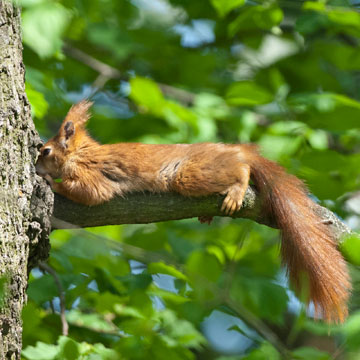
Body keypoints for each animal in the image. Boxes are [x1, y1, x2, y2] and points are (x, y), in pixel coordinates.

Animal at [35, 100, 348, 322]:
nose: (36, 167)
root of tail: (237, 150)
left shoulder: (92, 174)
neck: (80, 153)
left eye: (46, 151)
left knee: (241, 169)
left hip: (189, 174)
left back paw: (237, 187)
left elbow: (90, 192)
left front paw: (52, 183)